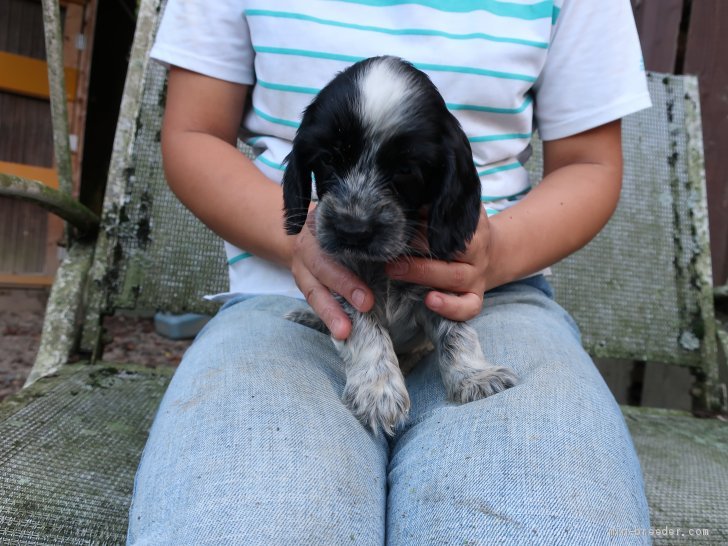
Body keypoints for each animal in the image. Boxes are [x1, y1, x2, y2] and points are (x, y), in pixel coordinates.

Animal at [282, 56, 516, 434]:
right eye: (329, 159)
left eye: (406, 169)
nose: (352, 229)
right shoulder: (346, 282)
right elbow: (367, 331)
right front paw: (378, 392)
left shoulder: (443, 280)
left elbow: (456, 332)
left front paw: (474, 376)